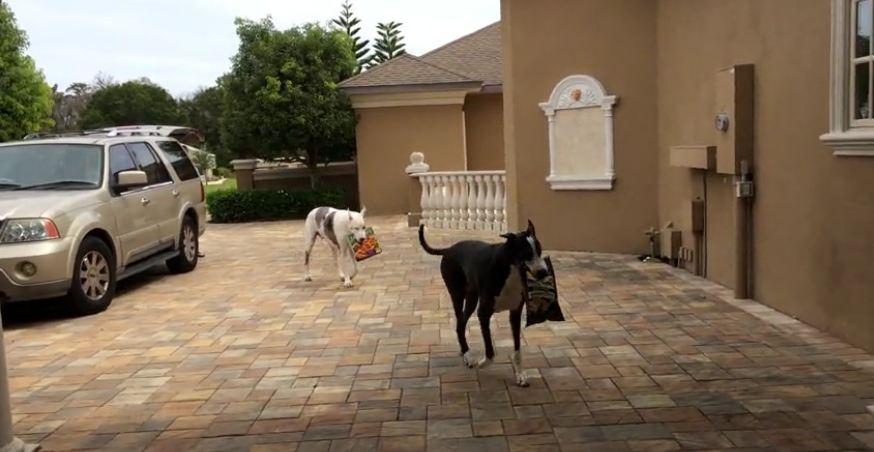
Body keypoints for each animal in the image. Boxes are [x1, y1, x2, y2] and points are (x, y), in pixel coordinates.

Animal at [416, 220, 544, 384]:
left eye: (539, 251)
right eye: (526, 253)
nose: (544, 272)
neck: (510, 267)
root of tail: (449, 249)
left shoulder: (515, 313)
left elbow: (517, 350)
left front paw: (520, 374)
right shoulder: (483, 313)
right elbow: (490, 351)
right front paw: (483, 363)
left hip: (471, 298)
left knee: (461, 323)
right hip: (457, 295)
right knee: (460, 324)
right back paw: (467, 355)